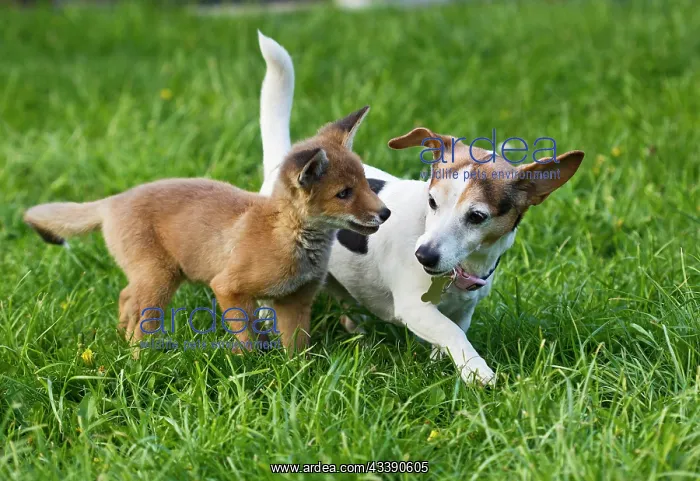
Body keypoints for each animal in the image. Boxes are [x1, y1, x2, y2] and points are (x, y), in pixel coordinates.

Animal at [24, 106, 391, 352]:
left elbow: (297, 351)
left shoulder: (295, 301)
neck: (286, 237)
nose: (385, 213)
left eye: (365, 183)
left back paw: (120, 338)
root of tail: (114, 199)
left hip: (157, 277)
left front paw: (296, 380)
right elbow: (248, 337)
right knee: (139, 315)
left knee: (126, 297)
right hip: (159, 280)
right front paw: (251, 370)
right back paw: (138, 358)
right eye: (344, 194)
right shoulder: (227, 287)